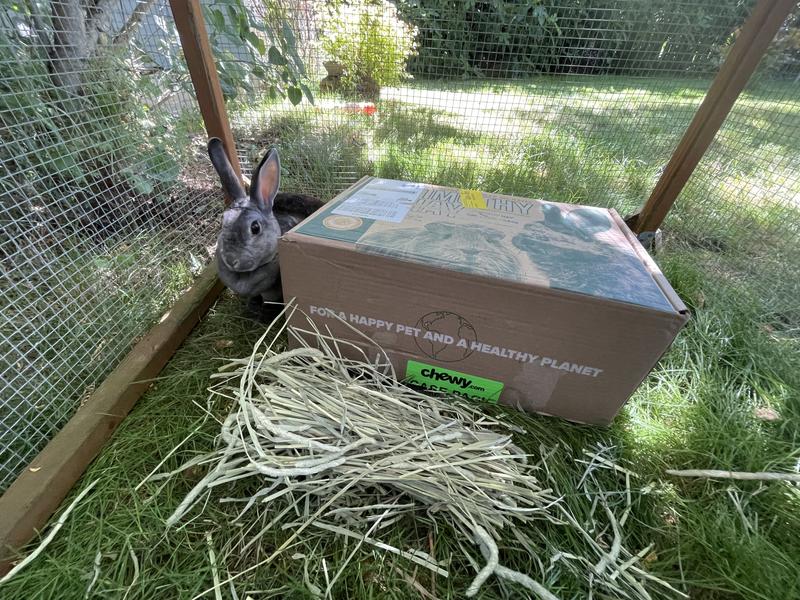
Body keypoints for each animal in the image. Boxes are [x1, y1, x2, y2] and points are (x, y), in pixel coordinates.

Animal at [207, 137, 324, 320]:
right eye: (222, 221)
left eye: (255, 227)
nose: (231, 260)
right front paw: (253, 305)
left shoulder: (273, 291)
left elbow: (270, 301)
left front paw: (265, 313)